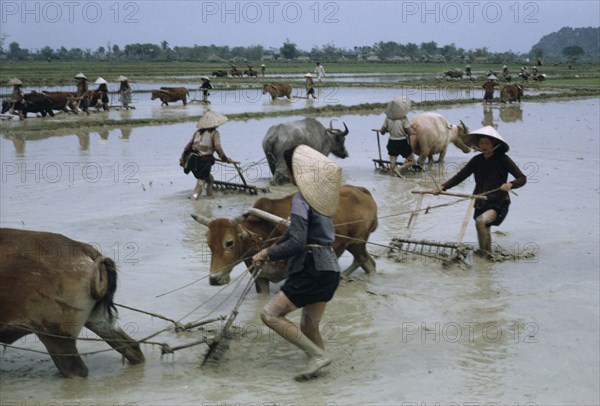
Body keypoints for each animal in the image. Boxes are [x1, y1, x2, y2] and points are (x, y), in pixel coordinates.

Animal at [192, 184, 378, 292]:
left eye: (229, 242)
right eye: (209, 244)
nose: (214, 279)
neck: (263, 236)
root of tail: (363, 191)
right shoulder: (260, 278)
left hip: (358, 242)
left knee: (368, 263)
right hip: (353, 245)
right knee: (365, 262)